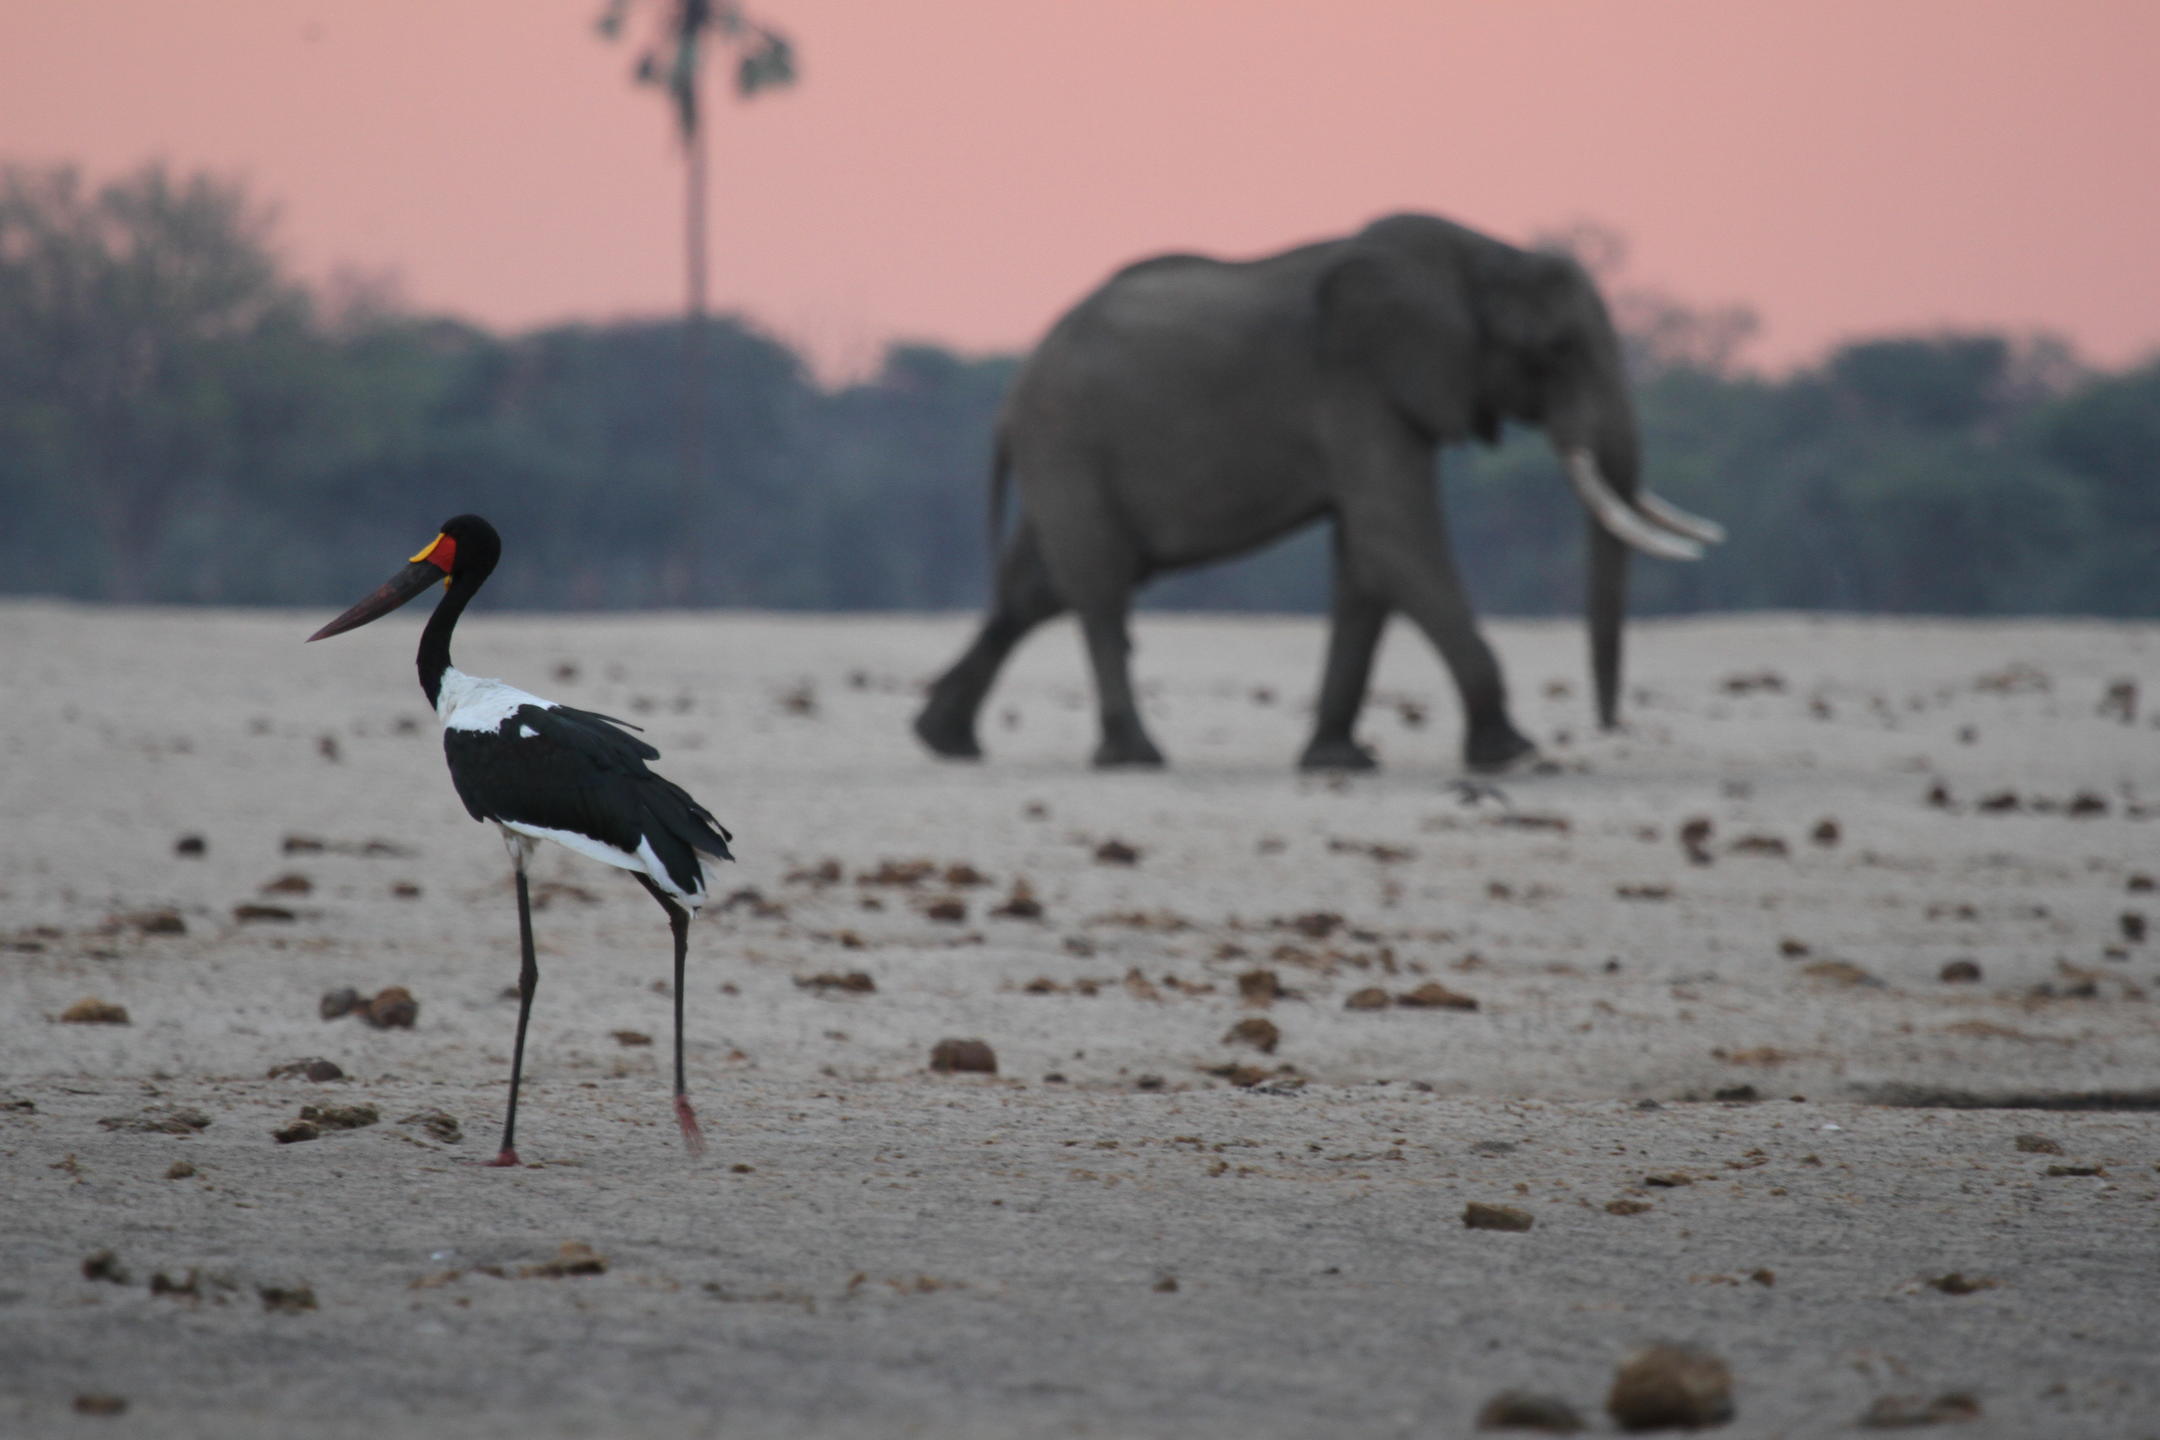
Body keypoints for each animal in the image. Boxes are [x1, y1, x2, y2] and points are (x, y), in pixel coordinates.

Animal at [912, 212, 1724, 773]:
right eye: (1556, 351)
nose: (1609, 729)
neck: (1476, 252)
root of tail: (1014, 390)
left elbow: (1367, 561)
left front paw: (1339, 762)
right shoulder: (1359, 385)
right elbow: (1397, 540)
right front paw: (1513, 753)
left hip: (1064, 453)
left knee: (1036, 589)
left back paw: (944, 739)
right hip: (1067, 440)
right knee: (1101, 589)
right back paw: (1134, 757)